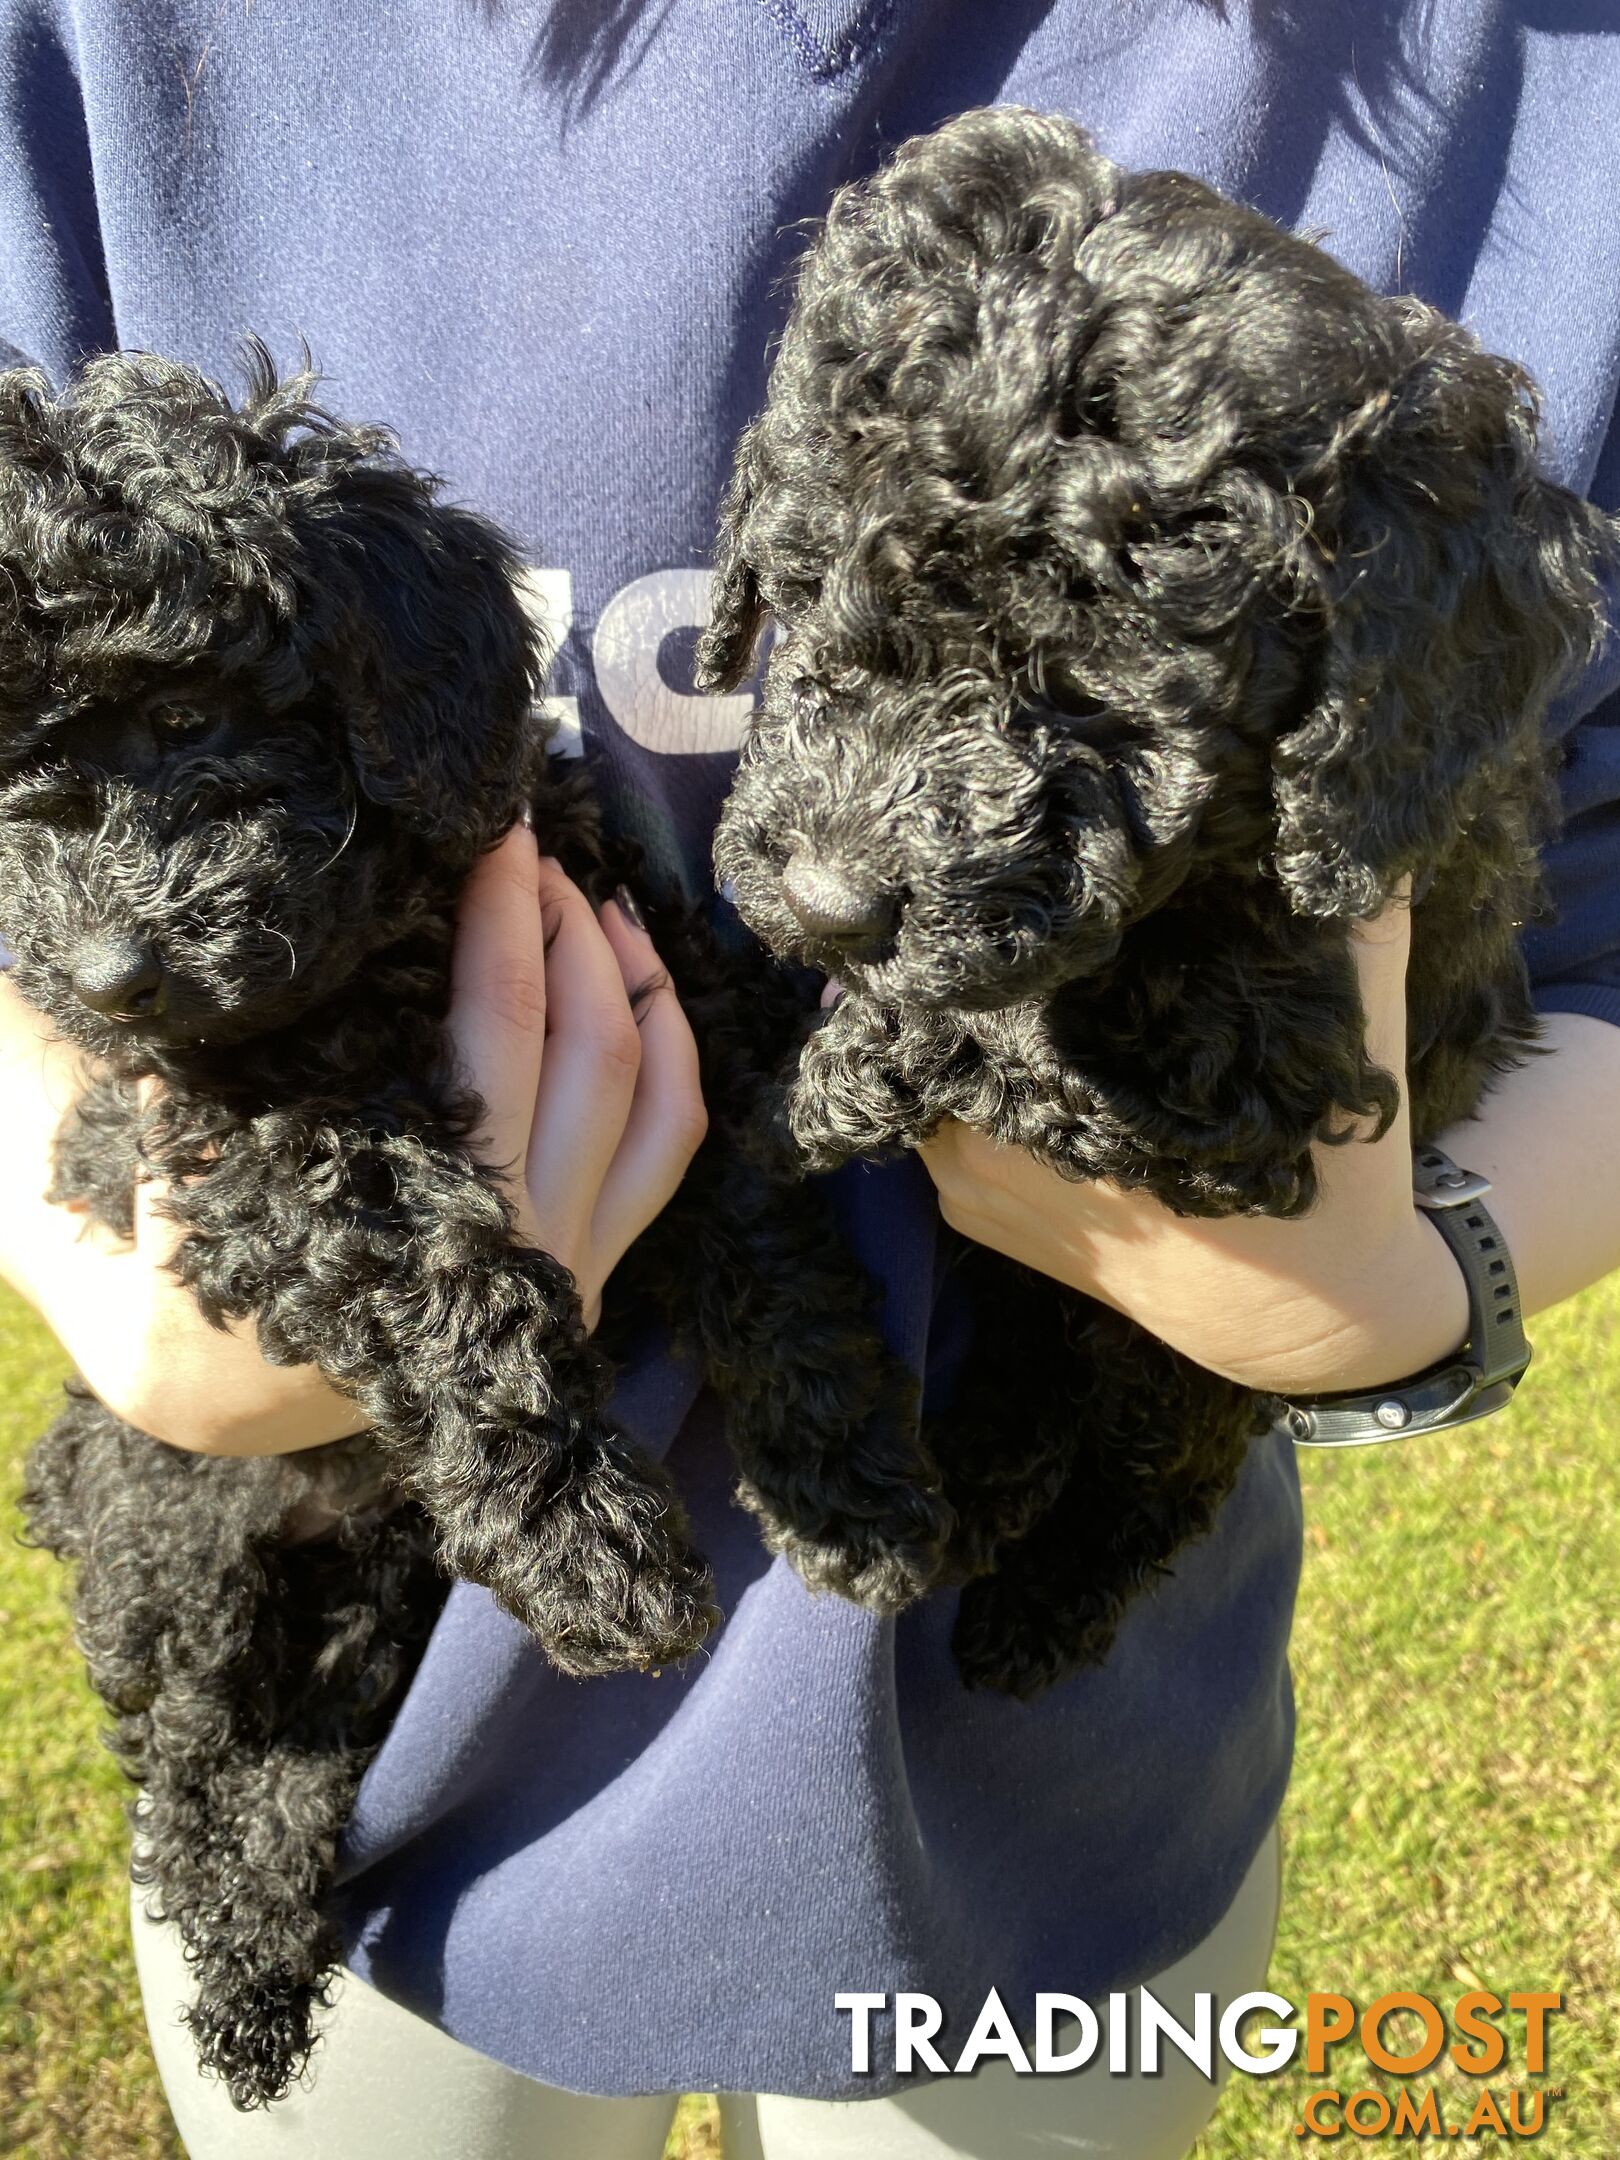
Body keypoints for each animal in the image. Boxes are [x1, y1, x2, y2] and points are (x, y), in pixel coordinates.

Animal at [699, 113, 1620, 1702]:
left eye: (1090, 684)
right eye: (806, 590)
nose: (821, 904)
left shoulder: (1277, 1051)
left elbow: (1088, 1035)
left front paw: (863, 1062)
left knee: (1157, 1452)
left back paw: (1040, 1600)